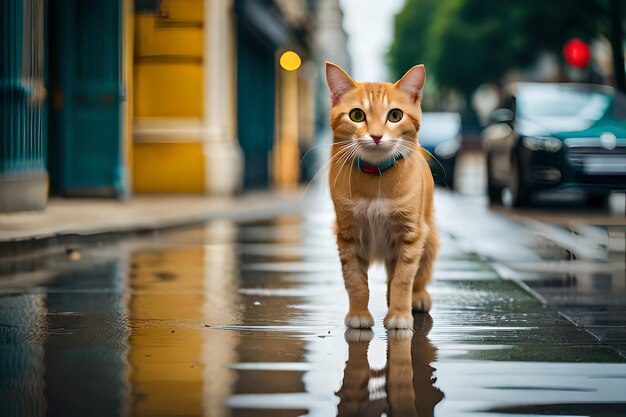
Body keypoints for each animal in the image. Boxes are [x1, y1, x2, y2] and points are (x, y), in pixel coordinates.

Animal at [324, 61, 436, 328]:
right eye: (357, 115)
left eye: (395, 115)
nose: (376, 136)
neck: (376, 176)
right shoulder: (348, 235)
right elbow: (355, 281)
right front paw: (358, 313)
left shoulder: (411, 235)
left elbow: (402, 280)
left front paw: (399, 315)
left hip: (429, 238)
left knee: (417, 276)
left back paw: (417, 297)